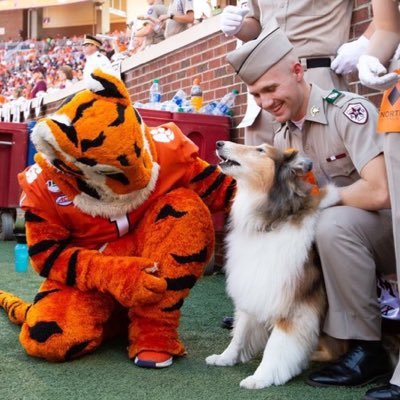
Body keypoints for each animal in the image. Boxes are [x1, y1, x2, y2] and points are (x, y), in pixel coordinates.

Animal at [206, 141, 340, 390]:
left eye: (260, 150)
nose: (219, 143)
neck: (274, 220)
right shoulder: (256, 283)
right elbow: (241, 332)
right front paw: (226, 358)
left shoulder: (294, 303)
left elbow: (277, 345)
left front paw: (262, 376)